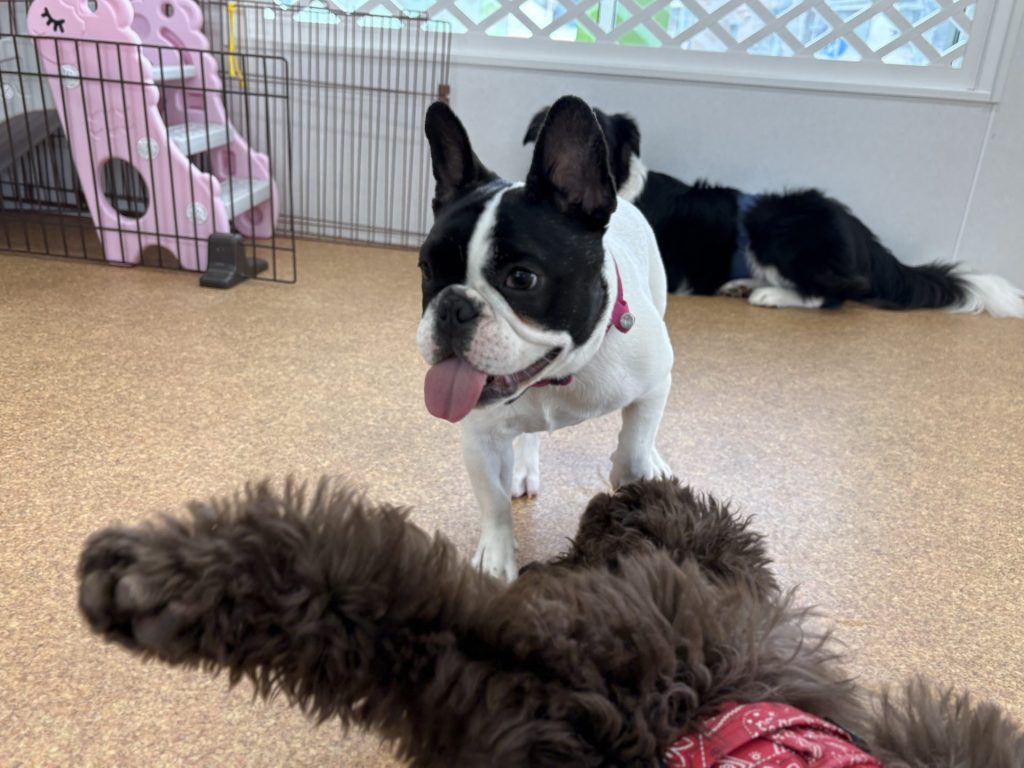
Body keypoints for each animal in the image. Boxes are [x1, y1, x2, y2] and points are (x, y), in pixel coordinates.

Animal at [418, 96, 674, 581]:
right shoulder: (479, 434)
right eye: (426, 269)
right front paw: (496, 558)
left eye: (521, 278)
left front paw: (630, 474)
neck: (560, 377)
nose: (453, 306)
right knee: (527, 439)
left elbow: (635, 444)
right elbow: (492, 499)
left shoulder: (655, 383)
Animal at [524, 107, 1024, 317]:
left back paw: (768, 295)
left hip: (774, 225)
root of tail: (862, 233)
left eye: (603, 141)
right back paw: (742, 285)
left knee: (841, 290)